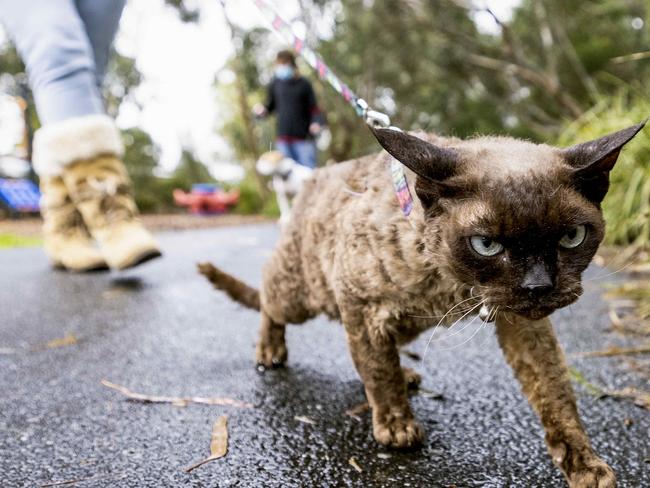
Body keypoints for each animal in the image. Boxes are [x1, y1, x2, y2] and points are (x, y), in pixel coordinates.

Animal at [197, 119, 644, 488]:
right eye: (486, 244)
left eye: (572, 237)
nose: (539, 285)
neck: (452, 287)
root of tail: (314, 177)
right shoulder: (358, 302)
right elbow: (379, 372)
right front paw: (395, 425)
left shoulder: (523, 324)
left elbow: (555, 393)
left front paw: (583, 464)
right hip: (301, 294)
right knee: (270, 298)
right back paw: (270, 349)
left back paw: (407, 374)